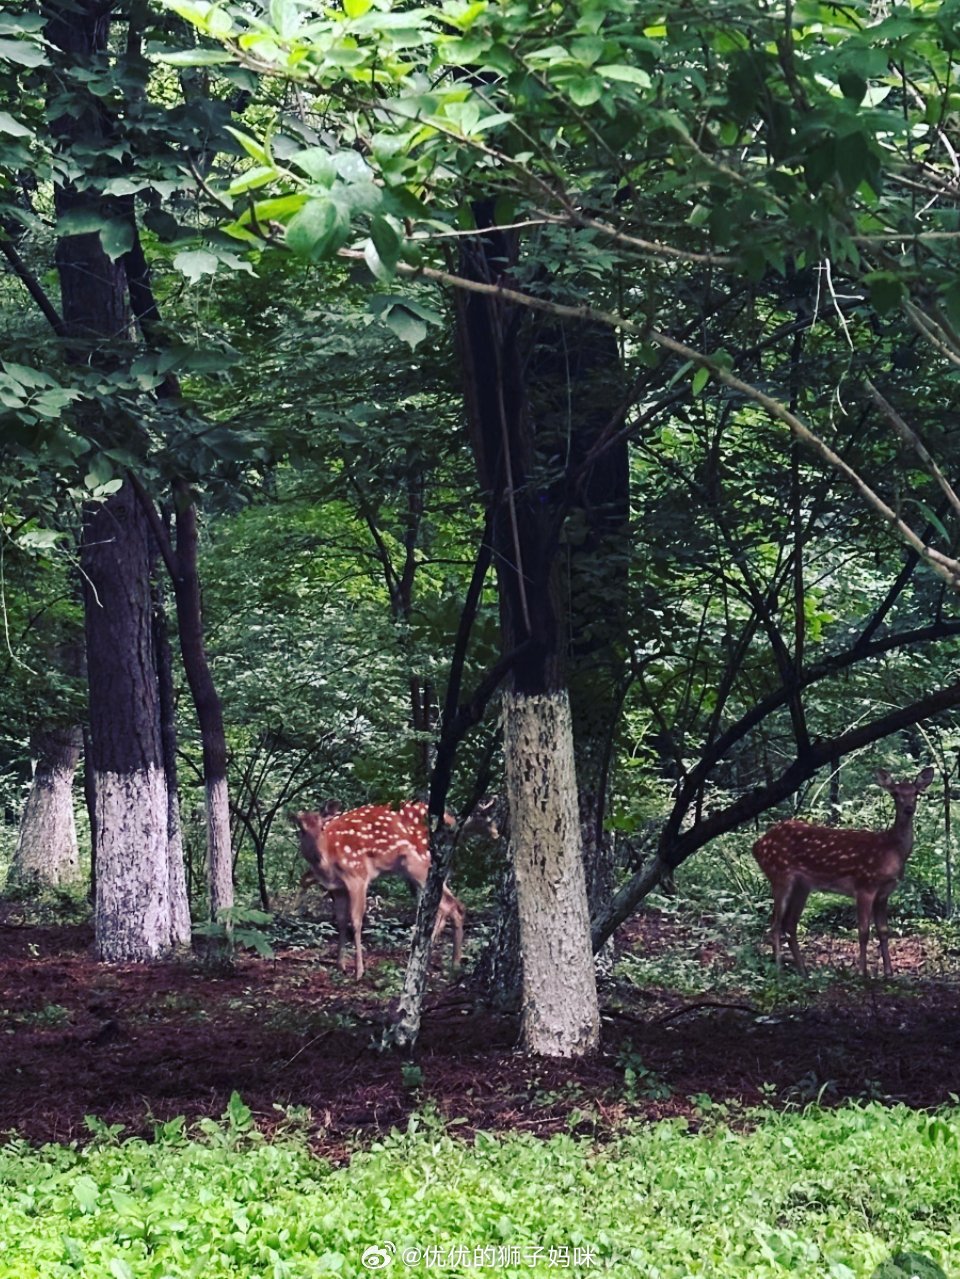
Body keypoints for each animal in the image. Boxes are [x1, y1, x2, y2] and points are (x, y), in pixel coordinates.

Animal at [293, 797, 498, 979]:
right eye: (301, 829)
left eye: (322, 827)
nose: (316, 853)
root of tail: (451, 822)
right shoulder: (338, 887)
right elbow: (341, 921)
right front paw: (340, 965)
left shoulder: (358, 875)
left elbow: (356, 921)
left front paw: (359, 971)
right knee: (451, 906)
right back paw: (446, 961)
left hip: (420, 864)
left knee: (449, 905)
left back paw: (441, 959)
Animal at [753, 766, 934, 978]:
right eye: (895, 793)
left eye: (916, 793)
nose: (908, 808)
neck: (891, 850)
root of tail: (756, 846)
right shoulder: (865, 884)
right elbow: (863, 931)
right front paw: (862, 972)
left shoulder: (884, 892)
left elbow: (883, 930)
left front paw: (889, 972)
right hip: (779, 874)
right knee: (774, 924)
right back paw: (780, 969)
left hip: (802, 885)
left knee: (790, 924)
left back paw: (803, 971)